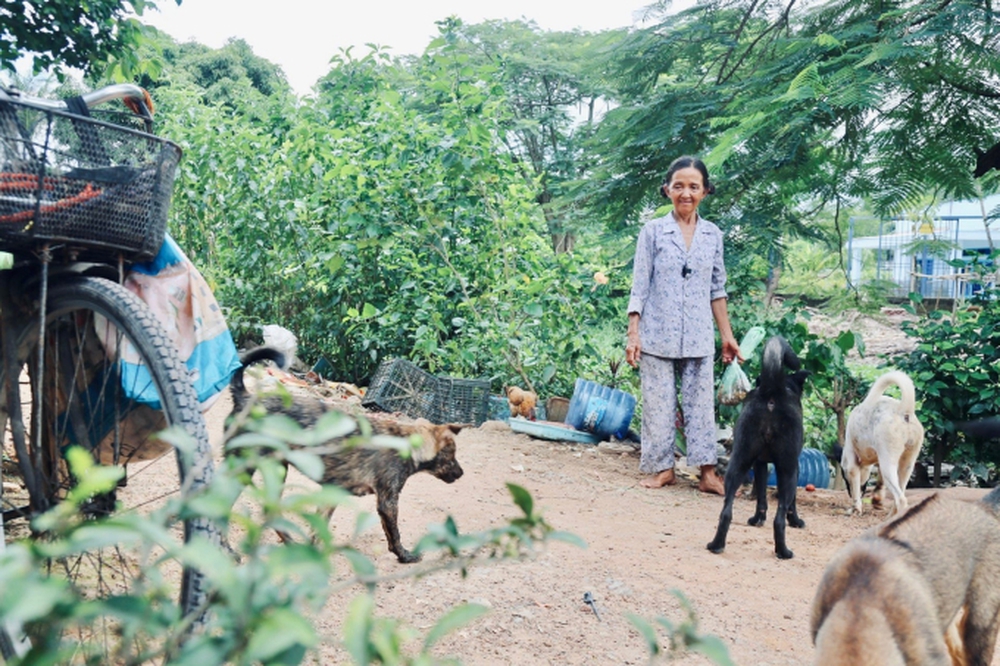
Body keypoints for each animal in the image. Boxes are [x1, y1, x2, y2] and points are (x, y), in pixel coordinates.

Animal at [232, 344, 466, 564]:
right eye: (452, 454)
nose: (462, 473)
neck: (406, 442)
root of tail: (247, 398)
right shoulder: (387, 501)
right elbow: (394, 535)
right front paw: (405, 556)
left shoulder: (333, 492)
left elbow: (317, 532)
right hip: (244, 468)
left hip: (277, 470)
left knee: (269, 510)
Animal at [708, 334, 808, 556]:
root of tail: (772, 391)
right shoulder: (795, 466)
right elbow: (792, 503)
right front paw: (796, 520)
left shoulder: (759, 463)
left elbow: (761, 494)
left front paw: (757, 519)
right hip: (787, 471)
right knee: (779, 518)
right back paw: (783, 551)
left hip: (739, 462)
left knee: (726, 512)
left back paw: (716, 544)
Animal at [840, 368, 924, 512]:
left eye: (843, 474)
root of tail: (903, 412)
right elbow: (879, 483)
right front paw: (876, 500)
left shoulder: (851, 460)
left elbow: (856, 487)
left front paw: (856, 508)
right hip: (907, 464)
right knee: (901, 494)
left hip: (889, 464)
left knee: (900, 499)